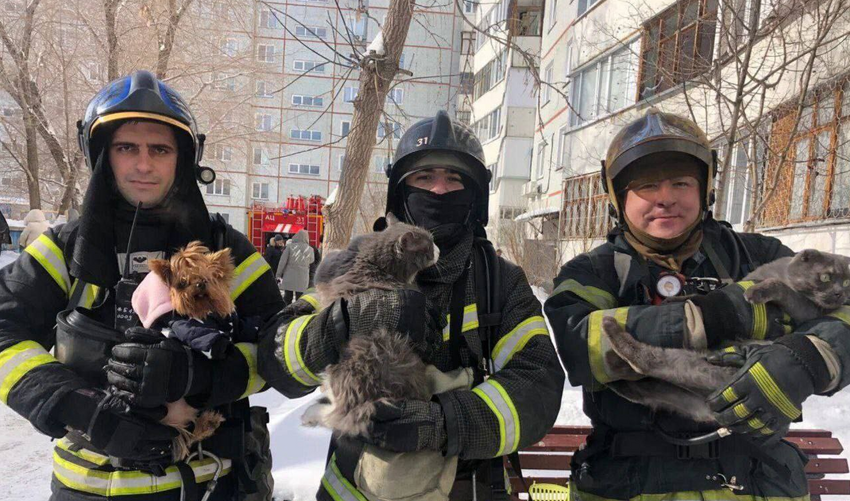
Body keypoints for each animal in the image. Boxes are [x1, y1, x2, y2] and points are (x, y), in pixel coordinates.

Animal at [144, 240, 234, 458]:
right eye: (182, 283)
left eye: (206, 279)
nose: (200, 284)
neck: (203, 312)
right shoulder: (181, 323)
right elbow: (199, 335)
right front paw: (219, 345)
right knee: (184, 434)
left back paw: (209, 423)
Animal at [600, 247, 844, 422]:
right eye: (825, 277)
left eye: (847, 282)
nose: (840, 294)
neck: (781, 273)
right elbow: (704, 297)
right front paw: (678, 300)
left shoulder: (807, 311)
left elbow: (782, 290)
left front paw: (755, 292)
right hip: (681, 394)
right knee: (647, 389)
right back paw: (613, 366)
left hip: (703, 369)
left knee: (652, 362)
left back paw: (612, 337)